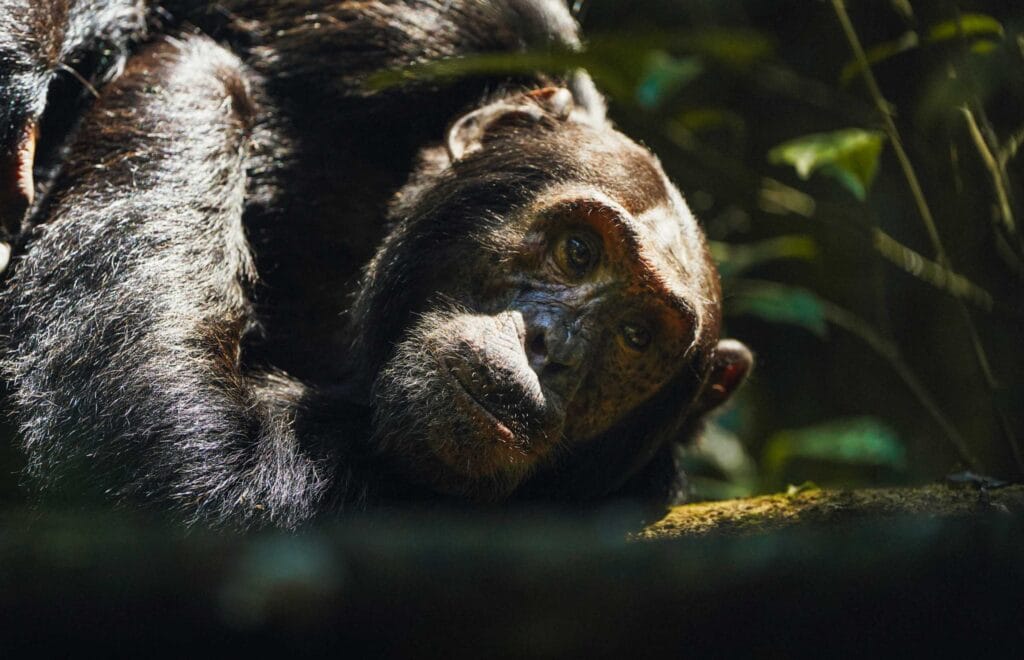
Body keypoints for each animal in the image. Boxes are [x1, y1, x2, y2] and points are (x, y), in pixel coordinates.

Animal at [0, 1, 752, 528]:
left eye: (636, 336)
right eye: (578, 252)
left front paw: (203, 76)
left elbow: (180, 460)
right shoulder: (443, 30)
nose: (552, 347)